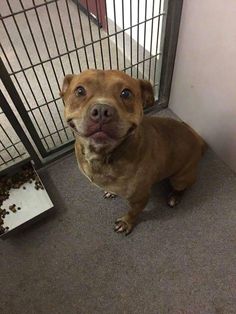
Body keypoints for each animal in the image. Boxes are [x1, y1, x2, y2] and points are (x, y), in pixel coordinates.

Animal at [60, 70, 205, 234]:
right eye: (80, 91)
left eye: (126, 93)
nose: (102, 110)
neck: (104, 156)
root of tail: (198, 141)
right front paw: (111, 192)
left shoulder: (140, 198)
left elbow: (133, 212)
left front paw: (126, 222)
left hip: (180, 178)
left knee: (183, 187)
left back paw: (174, 197)